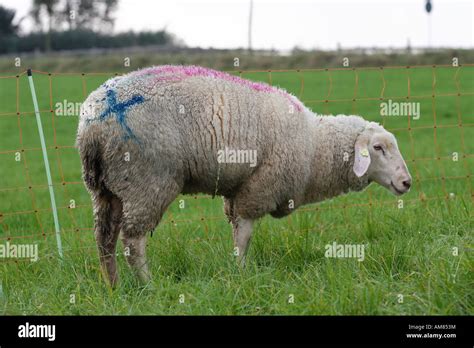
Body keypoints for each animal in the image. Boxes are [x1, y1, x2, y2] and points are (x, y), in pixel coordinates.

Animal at [75, 66, 412, 286]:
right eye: (378, 148)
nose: (406, 182)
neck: (315, 145)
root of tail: (94, 121)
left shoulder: (238, 192)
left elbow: (236, 229)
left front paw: (236, 270)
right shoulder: (258, 188)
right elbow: (245, 236)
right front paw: (240, 273)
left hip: (106, 189)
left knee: (104, 240)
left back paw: (114, 286)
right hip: (146, 180)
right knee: (133, 241)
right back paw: (148, 285)